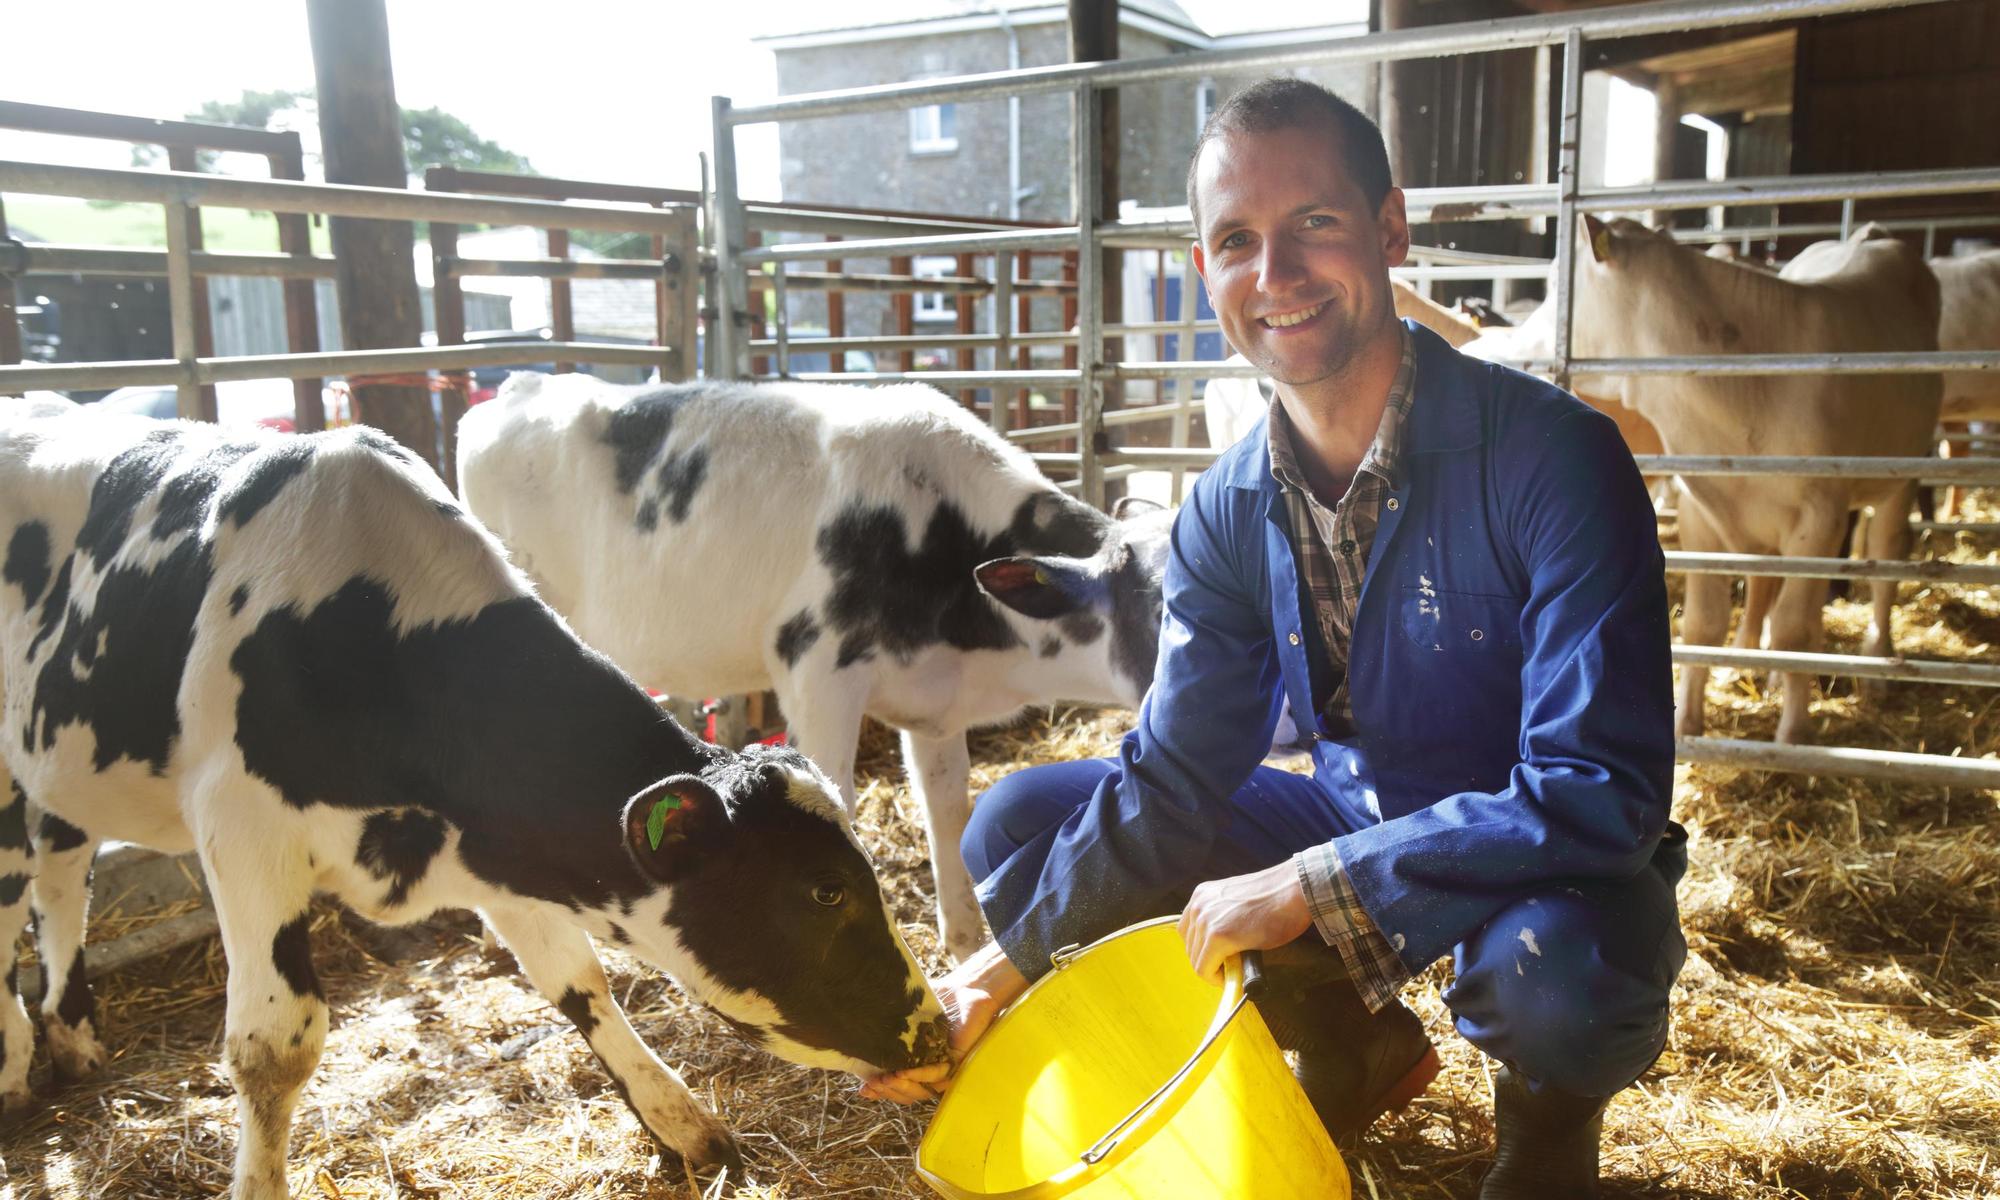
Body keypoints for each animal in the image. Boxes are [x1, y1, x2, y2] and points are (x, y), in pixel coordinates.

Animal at [0, 406, 948, 1200]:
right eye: (825, 890)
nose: (937, 1035)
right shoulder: (244, 830)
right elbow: (276, 1047)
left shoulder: (497, 847)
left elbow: (578, 982)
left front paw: (682, 1126)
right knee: (19, 880)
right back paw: (15, 1061)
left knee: (62, 871)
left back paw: (72, 1037)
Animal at [458, 380, 1168, 960]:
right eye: (1164, 605)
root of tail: (514, 388)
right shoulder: (817, 670)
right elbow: (839, 803)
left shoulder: (935, 705)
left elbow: (947, 810)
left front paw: (965, 944)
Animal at [1576, 218, 1936, 740]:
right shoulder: (1700, 507)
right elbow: (1703, 623)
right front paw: (1688, 721)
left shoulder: (1819, 516)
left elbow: (1794, 630)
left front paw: (1795, 732)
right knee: (1765, 577)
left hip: (1903, 469)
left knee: (1885, 553)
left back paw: (1876, 660)